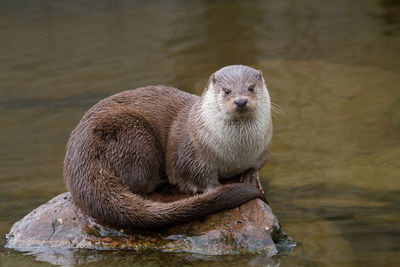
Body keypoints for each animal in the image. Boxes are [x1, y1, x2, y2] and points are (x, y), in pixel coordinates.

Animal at [64, 65, 272, 230]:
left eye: (251, 87)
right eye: (227, 90)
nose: (241, 101)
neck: (235, 154)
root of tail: (79, 164)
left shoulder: (262, 152)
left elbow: (255, 167)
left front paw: (252, 177)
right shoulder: (190, 154)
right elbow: (199, 178)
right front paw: (216, 189)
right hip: (133, 134)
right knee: (141, 182)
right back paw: (163, 182)